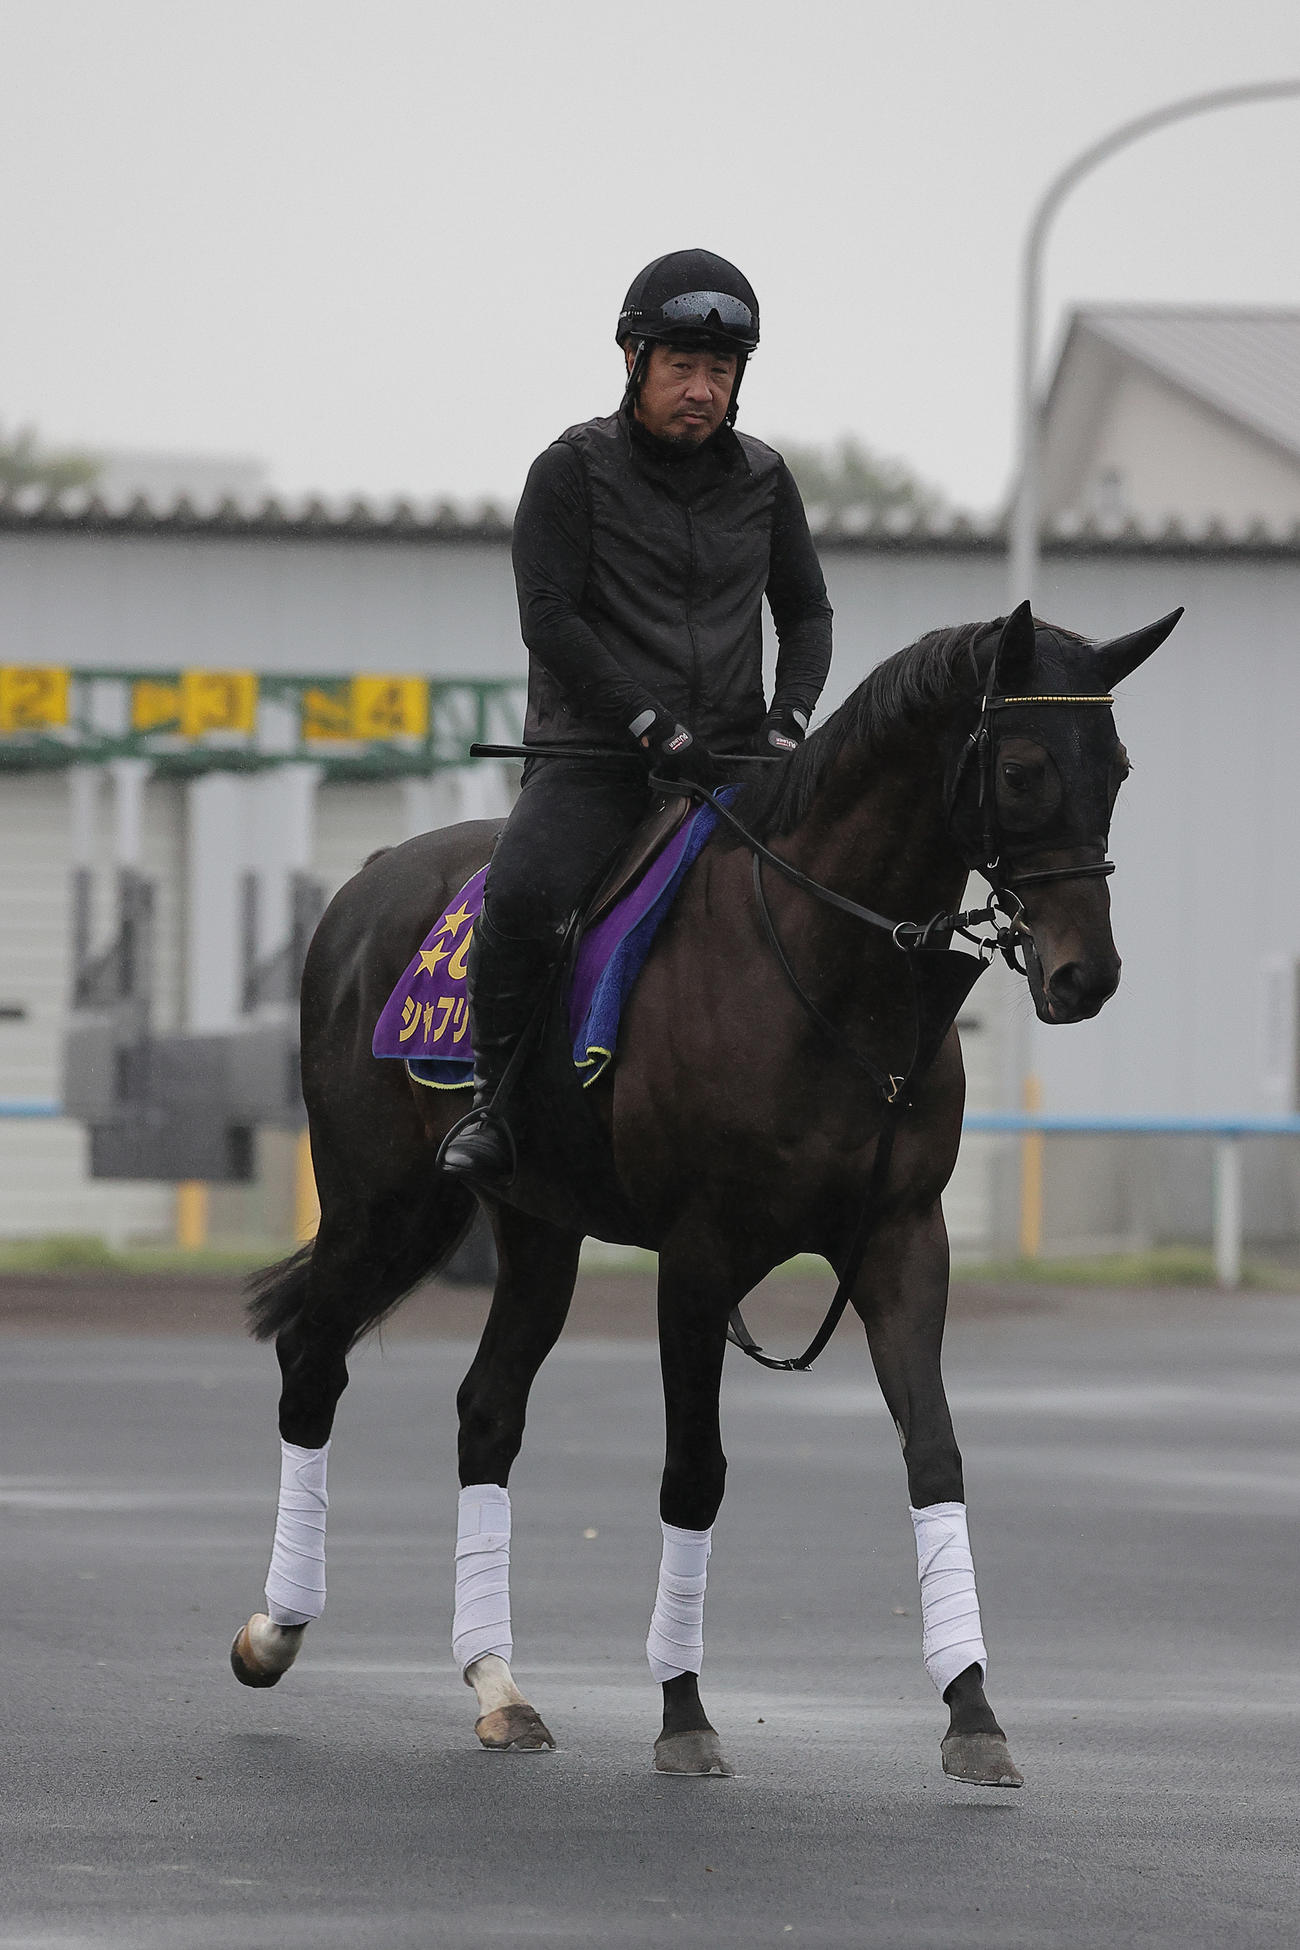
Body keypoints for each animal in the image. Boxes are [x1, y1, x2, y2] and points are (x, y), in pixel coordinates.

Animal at [229, 598, 1179, 1784]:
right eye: (1018, 767)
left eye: (1119, 766)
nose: (1083, 975)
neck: (831, 972)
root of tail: (366, 883)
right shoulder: (697, 1255)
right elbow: (695, 1472)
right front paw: (682, 1710)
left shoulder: (902, 1239)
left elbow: (935, 1454)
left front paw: (971, 1708)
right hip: (384, 1203)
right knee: (311, 1360)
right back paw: (274, 1631)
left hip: (534, 1228)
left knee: (486, 1410)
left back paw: (499, 1686)